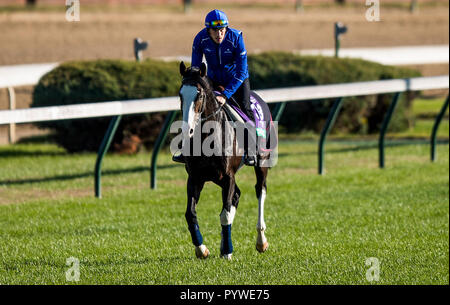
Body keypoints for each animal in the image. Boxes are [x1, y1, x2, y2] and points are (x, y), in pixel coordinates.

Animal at [177, 61, 274, 258]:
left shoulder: (229, 176)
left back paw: (261, 241)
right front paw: (202, 249)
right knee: (236, 195)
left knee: (260, 190)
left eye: (199, 94)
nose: (186, 131)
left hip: (262, 161)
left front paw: (228, 251)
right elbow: (190, 214)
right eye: (180, 94)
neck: (207, 136)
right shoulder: (195, 178)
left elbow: (225, 214)